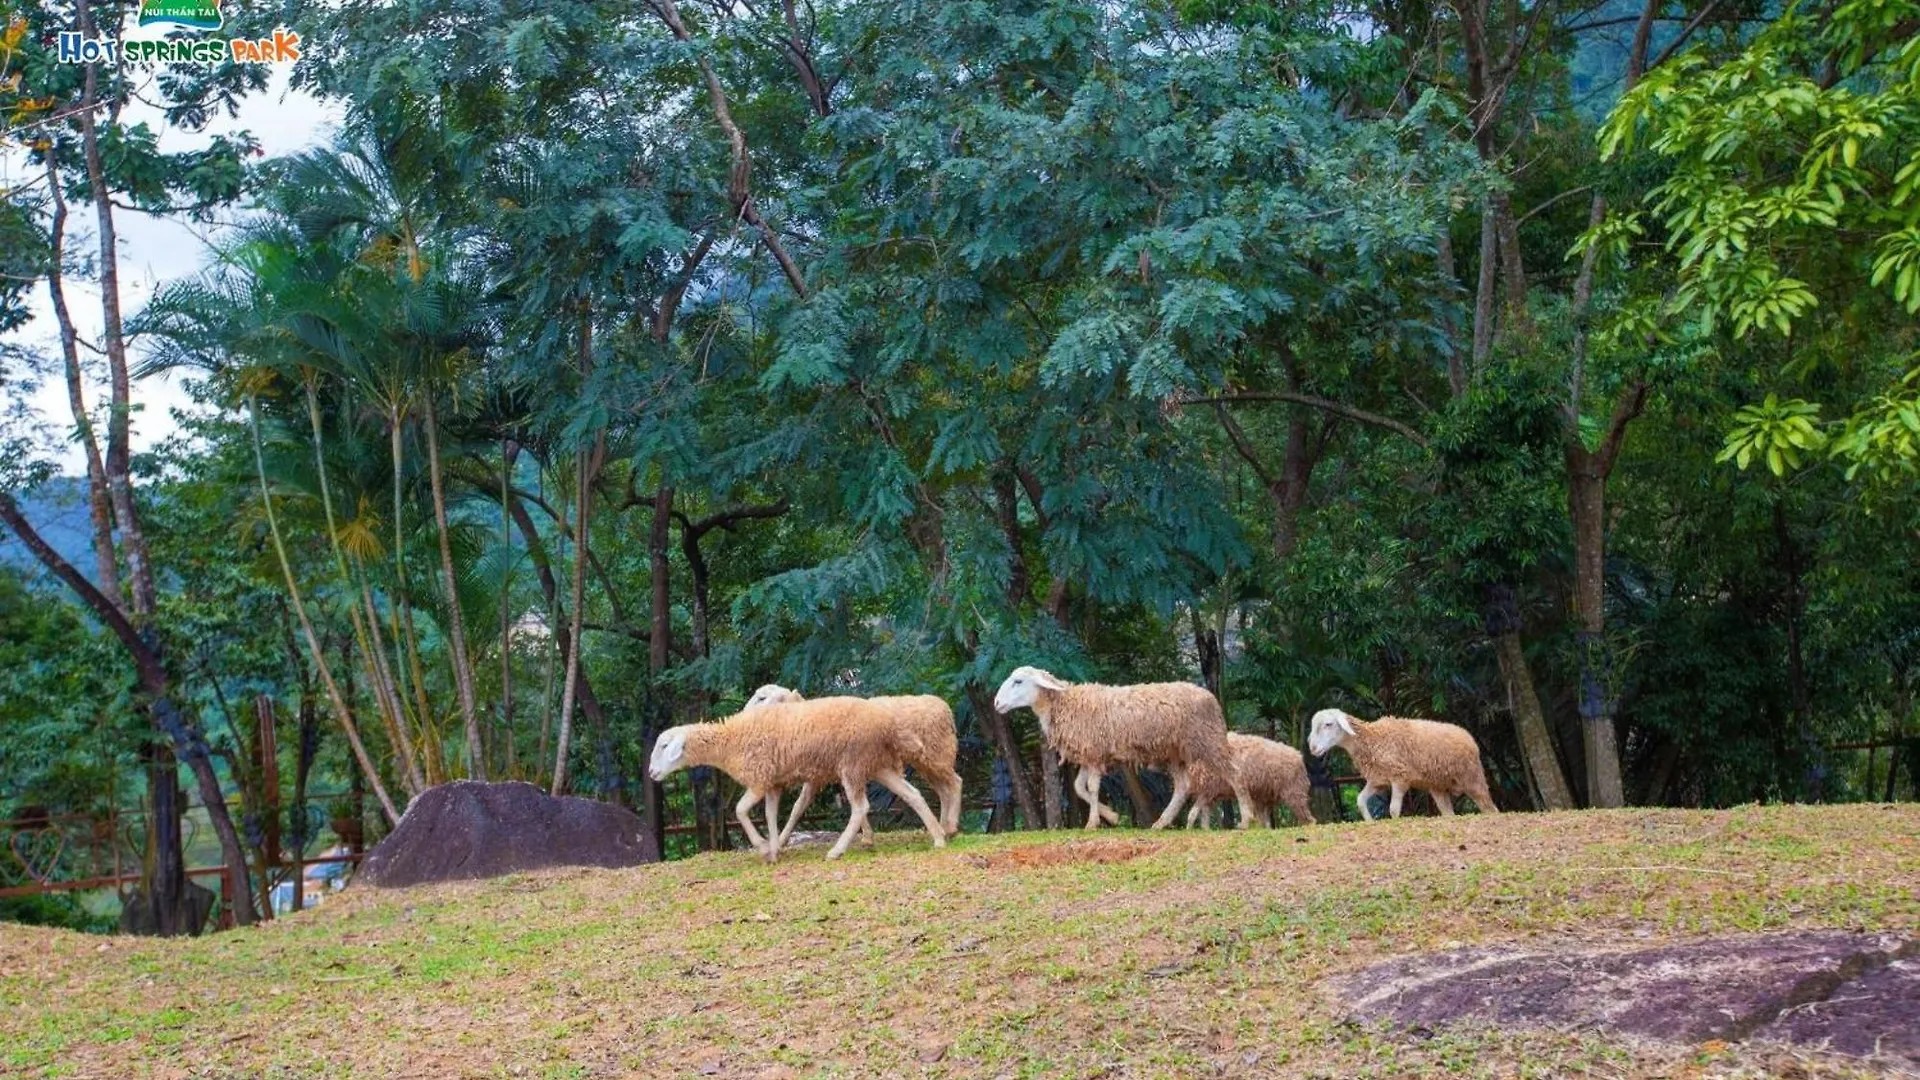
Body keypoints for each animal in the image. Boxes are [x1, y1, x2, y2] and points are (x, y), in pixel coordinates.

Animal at [648, 699, 948, 857]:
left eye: (664, 745)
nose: (651, 773)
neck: (730, 741)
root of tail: (888, 724)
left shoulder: (759, 778)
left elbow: (740, 810)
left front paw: (761, 846)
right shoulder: (772, 783)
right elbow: (769, 815)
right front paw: (773, 850)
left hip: (852, 764)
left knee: (861, 807)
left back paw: (836, 851)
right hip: (876, 764)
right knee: (913, 794)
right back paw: (939, 838)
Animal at [741, 680, 967, 849]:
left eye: (762, 698)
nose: (742, 714)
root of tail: (943, 706)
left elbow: (801, 807)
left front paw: (779, 841)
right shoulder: (821, 775)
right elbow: (800, 806)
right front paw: (867, 836)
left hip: (938, 753)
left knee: (955, 782)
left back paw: (950, 827)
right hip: (925, 760)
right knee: (942, 789)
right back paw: (945, 828)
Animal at [990, 661, 1259, 826]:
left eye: (1018, 681)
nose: (996, 703)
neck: (1065, 703)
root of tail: (1211, 697)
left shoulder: (1094, 752)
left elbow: (1092, 787)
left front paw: (1093, 822)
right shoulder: (1090, 754)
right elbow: (1079, 787)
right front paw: (1111, 816)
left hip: (1208, 742)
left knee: (1235, 774)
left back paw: (1246, 819)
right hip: (1176, 754)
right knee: (1183, 787)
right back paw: (1161, 823)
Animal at [1305, 707, 1497, 814]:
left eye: (1328, 724)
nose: (1313, 748)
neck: (1372, 739)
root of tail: (1468, 736)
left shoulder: (1400, 778)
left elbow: (1393, 809)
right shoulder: (1378, 780)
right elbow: (1360, 801)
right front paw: (1370, 822)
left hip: (1473, 779)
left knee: (1490, 808)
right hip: (1438, 787)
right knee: (1448, 813)